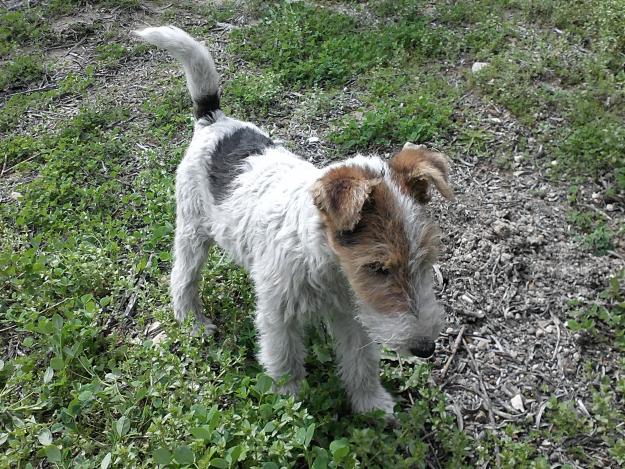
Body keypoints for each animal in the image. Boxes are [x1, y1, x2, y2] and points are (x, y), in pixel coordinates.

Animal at [135, 25, 454, 414]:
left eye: (425, 260)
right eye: (378, 267)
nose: (426, 348)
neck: (322, 258)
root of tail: (214, 119)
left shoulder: (352, 316)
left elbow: (360, 362)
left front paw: (371, 404)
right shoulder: (278, 317)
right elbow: (285, 364)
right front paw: (291, 409)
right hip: (192, 229)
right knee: (183, 277)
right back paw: (192, 322)